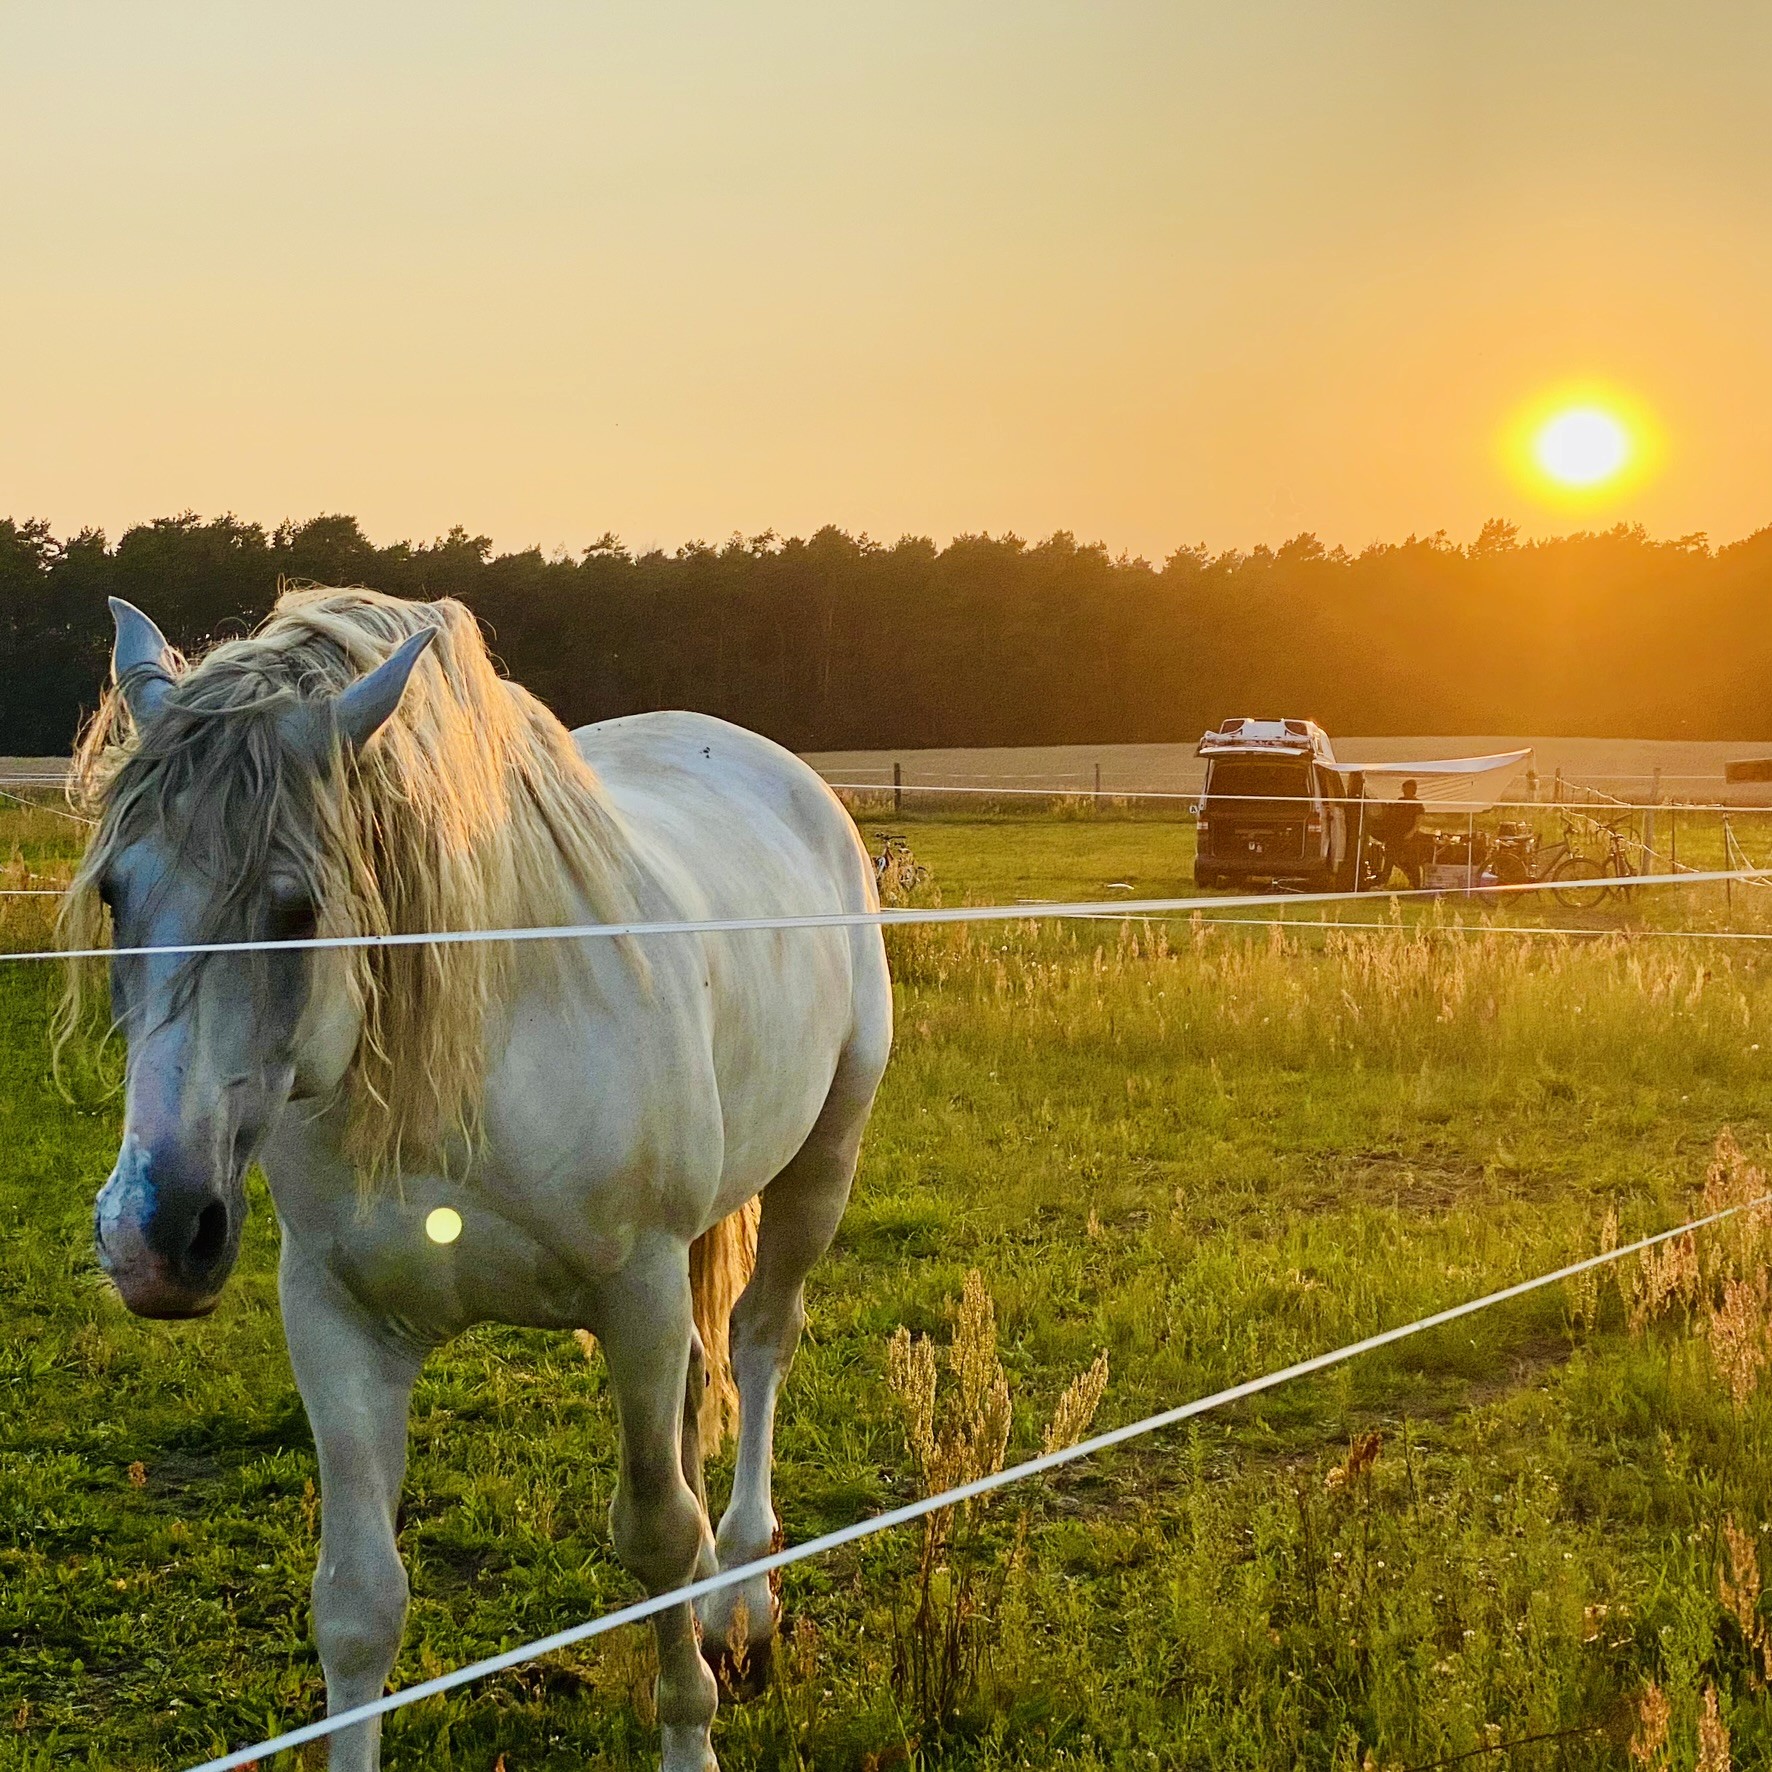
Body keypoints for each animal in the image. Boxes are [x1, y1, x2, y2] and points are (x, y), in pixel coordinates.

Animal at [65, 587, 893, 1772]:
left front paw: (689, 1731)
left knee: (757, 1344)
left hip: (820, 1165)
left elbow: (655, 1535)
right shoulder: (337, 1320)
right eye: (116, 894)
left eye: (295, 908)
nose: (155, 1234)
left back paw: (741, 1606)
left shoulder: (636, 1299)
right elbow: (358, 1602)